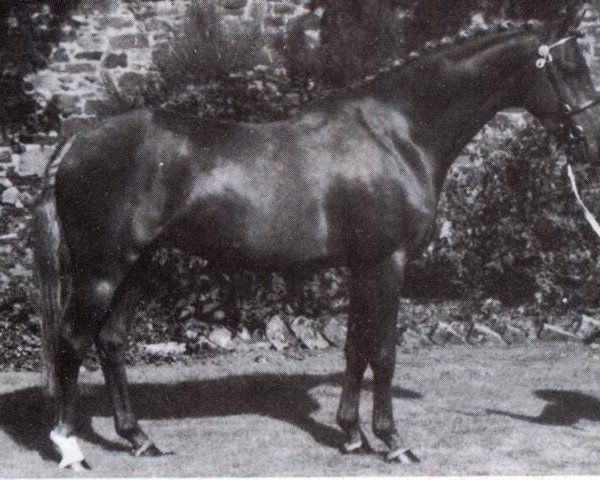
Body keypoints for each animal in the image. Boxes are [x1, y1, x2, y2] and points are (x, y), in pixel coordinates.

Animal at [31, 10, 600, 468]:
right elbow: (383, 352)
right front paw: (393, 441)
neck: (398, 134)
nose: (592, 145)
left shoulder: (361, 266)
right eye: (570, 66)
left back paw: (139, 438)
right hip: (101, 271)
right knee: (71, 342)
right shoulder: (388, 262)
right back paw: (70, 447)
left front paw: (351, 434)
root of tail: (80, 138)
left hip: (137, 265)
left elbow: (354, 349)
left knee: (110, 341)